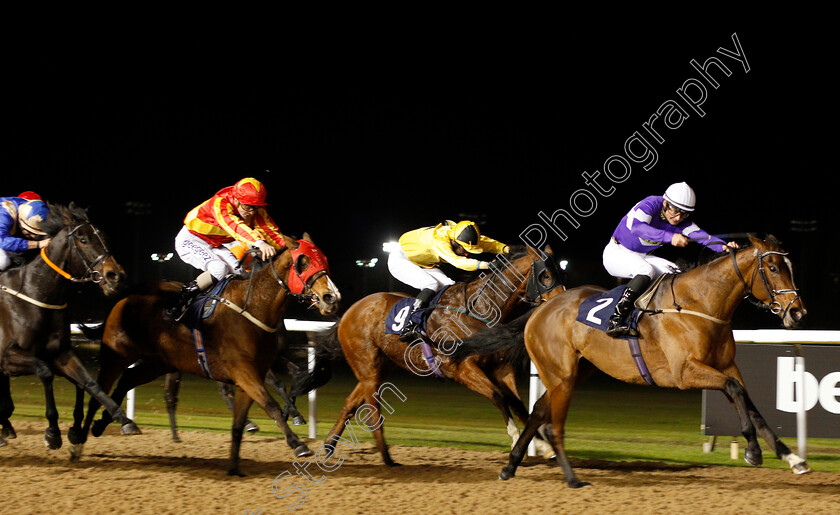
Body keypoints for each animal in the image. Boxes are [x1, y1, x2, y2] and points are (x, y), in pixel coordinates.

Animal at [0, 203, 133, 452]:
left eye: (105, 238)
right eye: (83, 239)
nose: (115, 276)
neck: (35, 293)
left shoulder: (60, 354)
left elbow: (88, 382)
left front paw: (121, 419)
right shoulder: (8, 358)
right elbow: (45, 372)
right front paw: (53, 432)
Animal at [79, 234, 340, 476]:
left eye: (324, 260)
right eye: (303, 262)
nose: (332, 297)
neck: (252, 308)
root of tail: (126, 296)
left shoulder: (256, 371)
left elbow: (249, 414)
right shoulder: (244, 371)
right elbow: (270, 404)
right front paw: (297, 443)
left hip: (157, 363)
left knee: (127, 380)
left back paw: (109, 423)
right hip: (117, 356)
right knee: (99, 389)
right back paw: (82, 435)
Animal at [296, 244, 564, 466]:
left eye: (559, 271)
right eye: (545, 275)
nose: (559, 302)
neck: (480, 309)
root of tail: (349, 312)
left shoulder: (501, 368)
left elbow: (519, 404)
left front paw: (545, 447)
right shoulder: (461, 368)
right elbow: (499, 397)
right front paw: (516, 439)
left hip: (379, 368)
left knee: (350, 404)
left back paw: (329, 446)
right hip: (367, 366)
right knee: (372, 411)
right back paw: (387, 459)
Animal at [456, 236, 812, 490]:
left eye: (790, 267)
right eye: (774, 268)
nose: (797, 312)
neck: (700, 303)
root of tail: (541, 309)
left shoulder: (726, 366)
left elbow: (751, 404)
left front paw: (793, 458)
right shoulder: (686, 372)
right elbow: (736, 391)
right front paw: (753, 451)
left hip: (573, 373)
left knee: (537, 414)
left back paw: (510, 466)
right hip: (561, 376)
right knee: (553, 424)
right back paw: (572, 478)